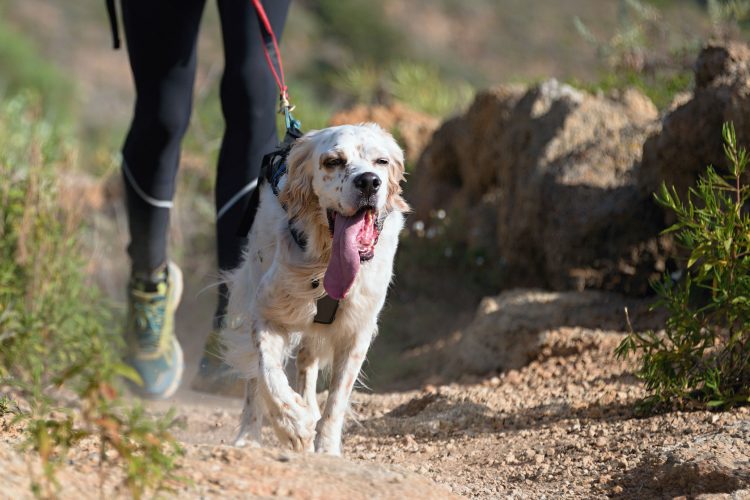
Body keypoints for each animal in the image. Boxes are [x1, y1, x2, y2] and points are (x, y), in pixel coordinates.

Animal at [223, 123, 412, 456]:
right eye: (333, 161)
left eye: (381, 162)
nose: (368, 182)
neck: (325, 260)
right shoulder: (267, 312)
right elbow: (268, 373)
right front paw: (291, 424)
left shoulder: (357, 330)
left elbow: (336, 400)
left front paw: (326, 449)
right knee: (255, 385)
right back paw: (249, 437)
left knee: (307, 363)